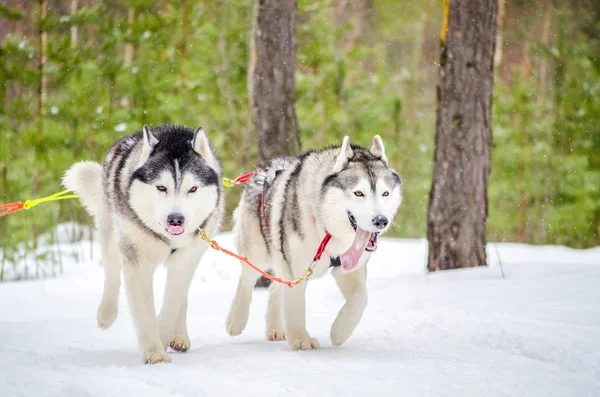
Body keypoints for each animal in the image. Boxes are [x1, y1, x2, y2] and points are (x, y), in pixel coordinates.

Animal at [62, 124, 223, 362]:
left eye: (192, 189)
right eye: (161, 188)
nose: (176, 219)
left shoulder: (185, 259)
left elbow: (172, 303)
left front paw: (163, 336)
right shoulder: (138, 263)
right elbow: (145, 311)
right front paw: (155, 354)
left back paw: (179, 336)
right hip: (111, 233)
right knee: (112, 273)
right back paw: (106, 314)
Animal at [227, 136, 400, 350]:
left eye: (385, 193)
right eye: (359, 193)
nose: (381, 221)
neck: (327, 230)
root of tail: (262, 171)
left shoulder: (349, 269)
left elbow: (361, 299)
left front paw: (339, 332)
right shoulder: (297, 269)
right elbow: (296, 306)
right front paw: (301, 340)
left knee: (276, 288)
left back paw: (275, 328)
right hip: (257, 253)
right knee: (247, 278)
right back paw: (236, 319)